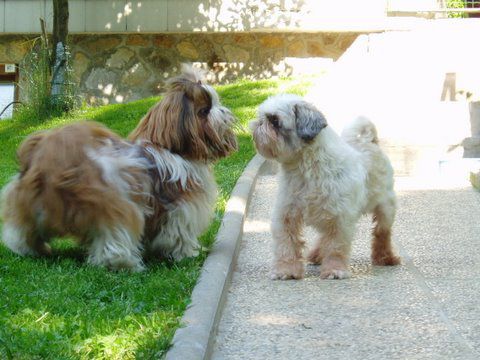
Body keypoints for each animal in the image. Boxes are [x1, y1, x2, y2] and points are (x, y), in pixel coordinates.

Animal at [0, 66, 237, 272]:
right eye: (204, 111)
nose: (221, 111)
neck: (170, 148)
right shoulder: (182, 208)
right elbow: (178, 235)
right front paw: (186, 254)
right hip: (116, 208)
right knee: (113, 238)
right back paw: (123, 263)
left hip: (31, 202)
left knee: (22, 230)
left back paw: (29, 248)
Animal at [249, 94, 400, 280]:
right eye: (262, 117)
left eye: (275, 121)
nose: (257, 124)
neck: (305, 169)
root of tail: (369, 141)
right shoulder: (286, 215)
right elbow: (286, 245)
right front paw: (286, 270)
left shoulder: (340, 219)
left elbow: (335, 247)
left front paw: (334, 269)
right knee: (323, 237)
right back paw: (316, 255)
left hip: (386, 208)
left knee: (382, 233)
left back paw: (385, 257)